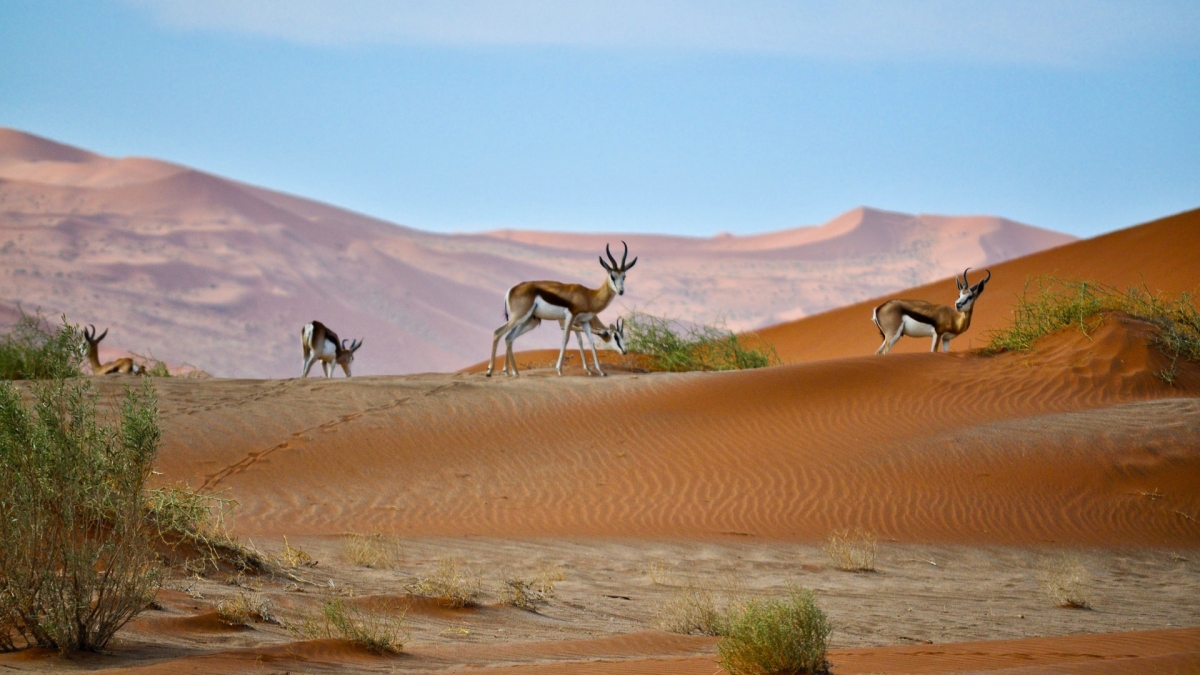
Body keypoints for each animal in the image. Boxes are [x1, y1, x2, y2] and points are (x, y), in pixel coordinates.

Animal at [487, 241, 638, 379]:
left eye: (624, 276)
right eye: (613, 276)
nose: (621, 291)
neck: (589, 296)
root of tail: (511, 289)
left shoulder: (584, 321)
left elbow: (590, 341)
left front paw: (600, 371)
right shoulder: (570, 317)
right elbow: (566, 339)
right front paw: (559, 370)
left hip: (528, 321)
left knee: (509, 338)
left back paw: (514, 372)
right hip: (519, 317)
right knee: (498, 332)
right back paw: (490, 371)